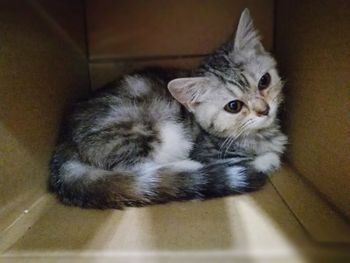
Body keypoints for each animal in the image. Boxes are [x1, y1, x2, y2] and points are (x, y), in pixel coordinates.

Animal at [49, 9, 288, 209]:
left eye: (264, 81)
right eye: (234, 106)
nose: (264, 110)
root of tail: (64, 142)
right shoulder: (207, 151)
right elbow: (254, 158)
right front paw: (267, 159)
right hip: (146, 131)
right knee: (134, 171)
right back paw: (188, 169)